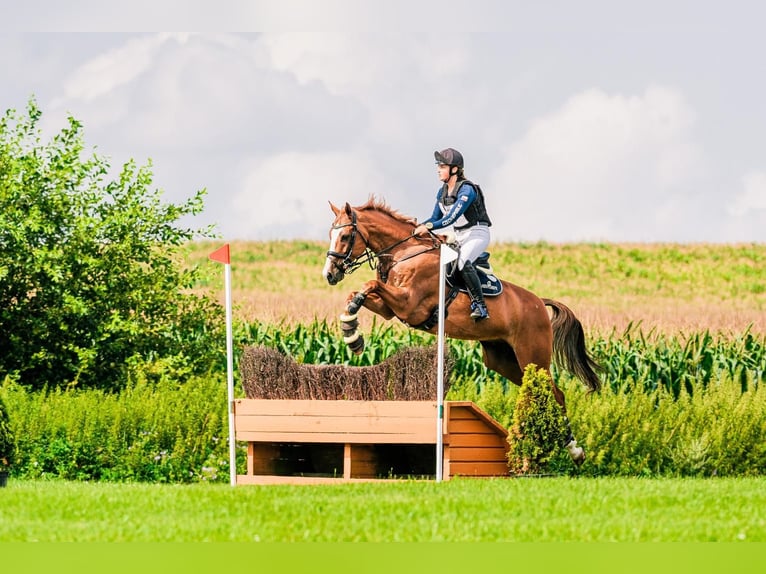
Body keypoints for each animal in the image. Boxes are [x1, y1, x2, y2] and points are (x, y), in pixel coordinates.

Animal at [320, 200, 604, 466]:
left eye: (345, 236)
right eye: (331, 233)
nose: (329, 274)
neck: (405, 253)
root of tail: (538, 303)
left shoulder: (409, 304)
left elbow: (369, 284)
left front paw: (352, 329)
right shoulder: (392, 309)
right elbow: (358, 293)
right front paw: (351, 333)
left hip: (532, 356)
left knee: (555, 394)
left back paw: (573, 450)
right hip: (503, 360)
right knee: (537, 392)